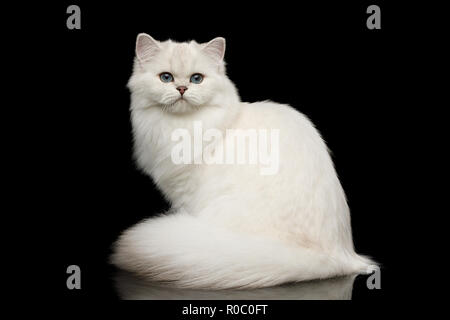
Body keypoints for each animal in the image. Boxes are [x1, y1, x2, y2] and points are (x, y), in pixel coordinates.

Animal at [110, 33, 374, 288]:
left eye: (197, 79)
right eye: (166, 78)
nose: (182, 88)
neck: (182, 126)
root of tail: (336, 257)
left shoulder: (186, 194)